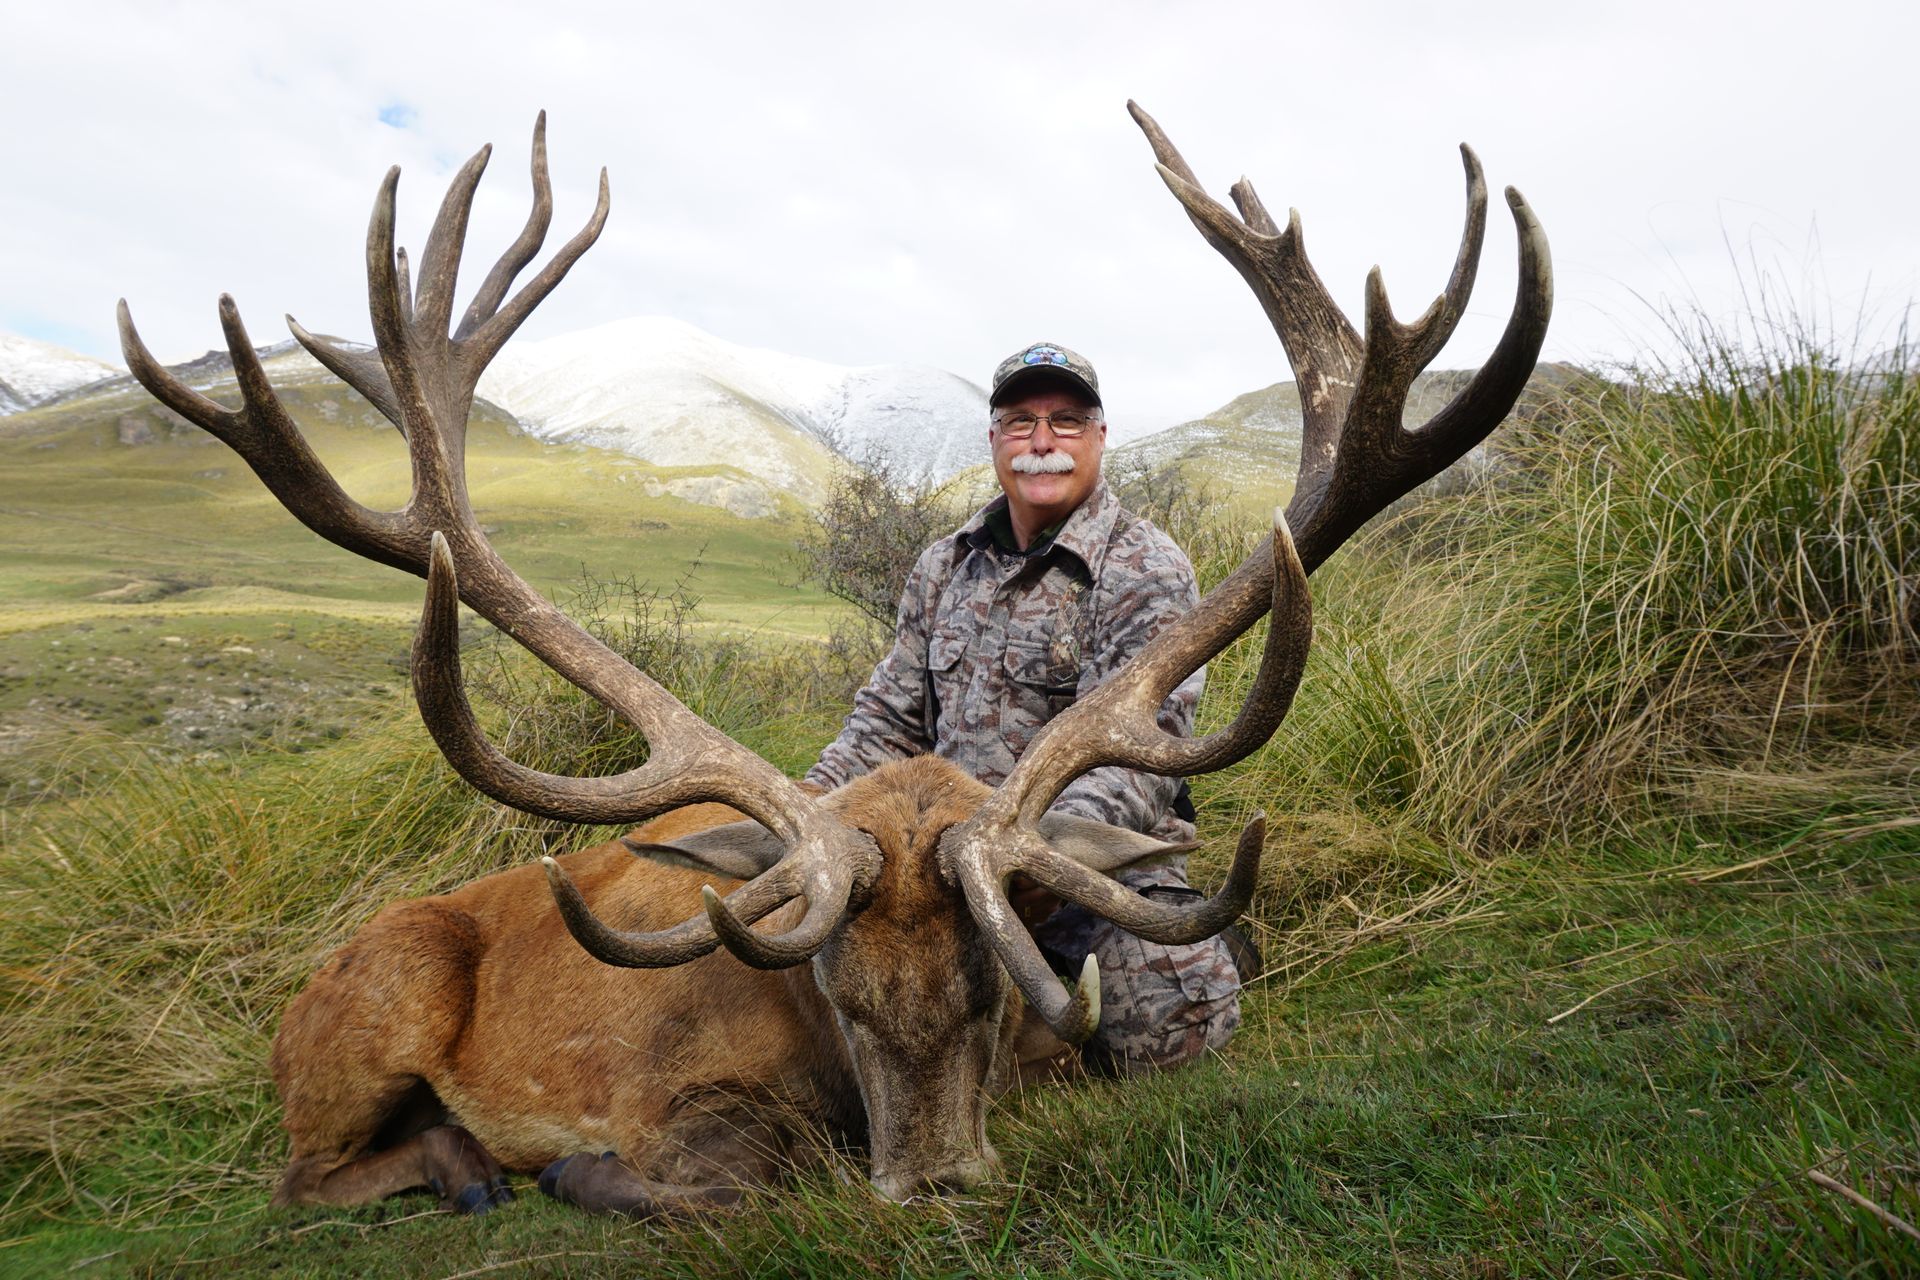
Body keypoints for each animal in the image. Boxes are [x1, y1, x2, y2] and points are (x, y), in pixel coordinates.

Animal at [115, 104, 1550, 1218]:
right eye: (840, 998)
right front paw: (570, 1168)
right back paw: (463, 1163)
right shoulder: (670, 1094)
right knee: (297, 1178)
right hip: (383, 1000)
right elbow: (719, 1167)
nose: (935, 1179)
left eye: (991, 994)